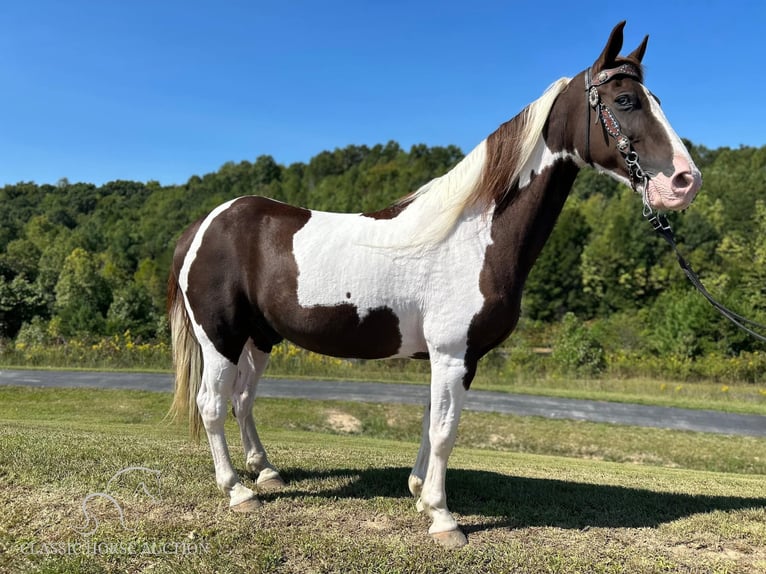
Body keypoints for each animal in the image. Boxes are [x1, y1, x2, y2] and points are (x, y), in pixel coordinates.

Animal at [166, 22, 704, 552]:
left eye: (652, 97)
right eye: (625, 100)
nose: (686, 181)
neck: (475, 235)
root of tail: (203, 226)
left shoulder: (448, 359)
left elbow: (430, 423)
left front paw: (421, 493)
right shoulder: (452, 354)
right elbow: (446, 430)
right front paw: (444, 519)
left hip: (258, 339)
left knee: (242, 400)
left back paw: (266, 472)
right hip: (220, 338)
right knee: (212, 405)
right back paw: (239, 492)